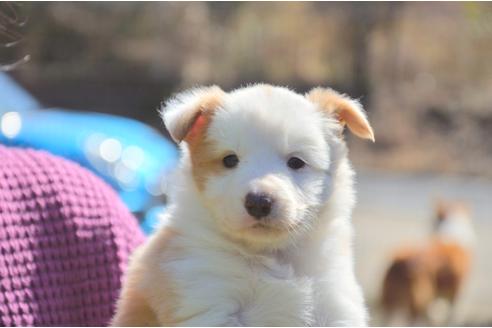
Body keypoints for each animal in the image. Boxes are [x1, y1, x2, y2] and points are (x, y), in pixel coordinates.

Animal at [110, 84, 372, 326]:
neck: (270, 255)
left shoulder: (334, 303)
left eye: (296, 162)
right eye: (230, 160)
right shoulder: (206, 296)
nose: (259, 202)